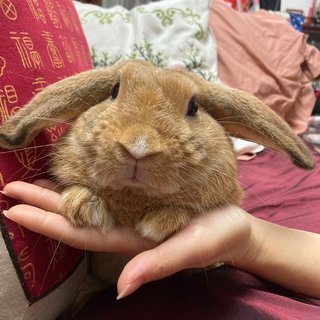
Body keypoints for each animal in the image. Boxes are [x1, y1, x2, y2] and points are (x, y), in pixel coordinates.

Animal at [0, 58, 316, 316]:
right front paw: (84, 208)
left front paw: (160, 222)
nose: (138, 147)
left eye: (193, 107)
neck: (133, 197)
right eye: (114, 91)